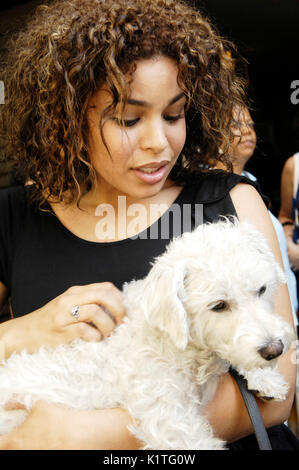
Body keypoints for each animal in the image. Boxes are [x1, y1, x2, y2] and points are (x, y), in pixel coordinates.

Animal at [0, 218, 296, 450]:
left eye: (262, 289)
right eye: (219, 305)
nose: (275, 349)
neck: (173, 341)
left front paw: (265, 379)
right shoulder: (168, 418)